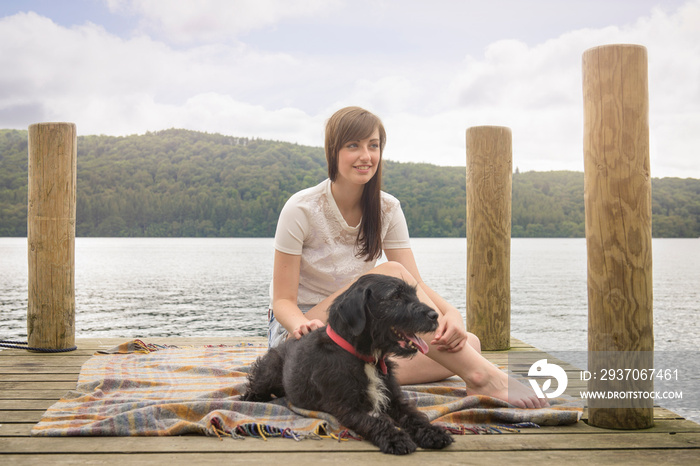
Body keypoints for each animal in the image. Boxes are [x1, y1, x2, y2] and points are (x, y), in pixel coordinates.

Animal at [242, 274, 454, 456]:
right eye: (395, 296)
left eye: (413, 294)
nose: (435, 315)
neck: (366, 357)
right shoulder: (348, 408)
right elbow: (376, 422)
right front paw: (396, 438)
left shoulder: (394, 399)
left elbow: (414, 416)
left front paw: (433, 432)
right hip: (270, 368)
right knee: (257, 383)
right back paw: (251, 396)